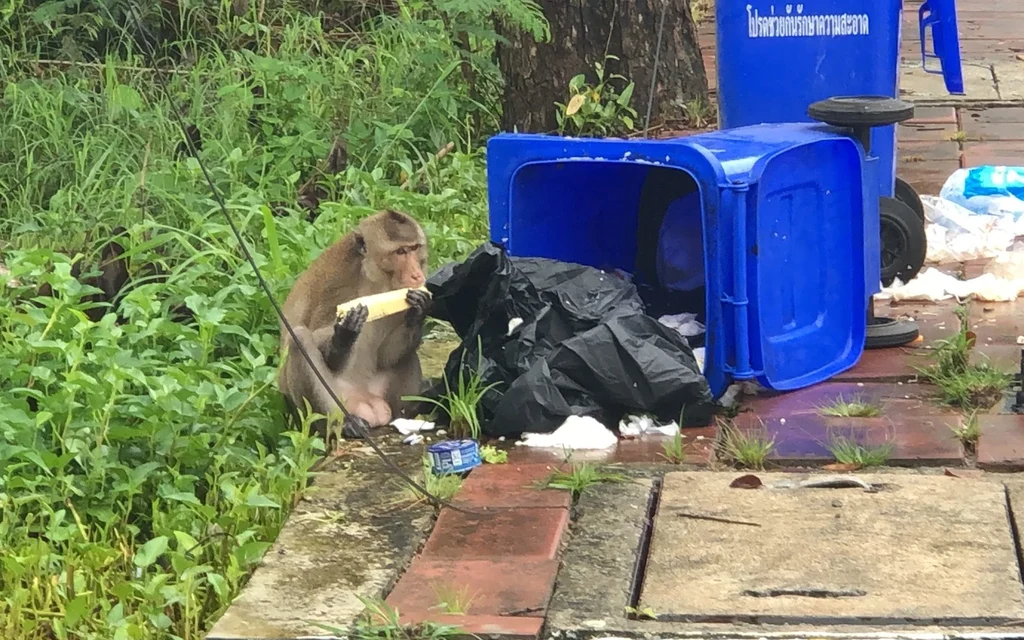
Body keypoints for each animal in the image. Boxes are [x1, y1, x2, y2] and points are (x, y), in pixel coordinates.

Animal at [277, 209, 431, 443]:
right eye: (400, 251)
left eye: (414, 248)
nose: (416, 274)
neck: (375, 279)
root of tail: (367, 403)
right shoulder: (336, 283)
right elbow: (323, 349)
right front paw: (345, 334)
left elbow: (387, 356)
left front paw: (419, 311)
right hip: (333, 402)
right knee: (300, 339)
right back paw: (343, 425)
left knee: (407, 354)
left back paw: (405, 413)